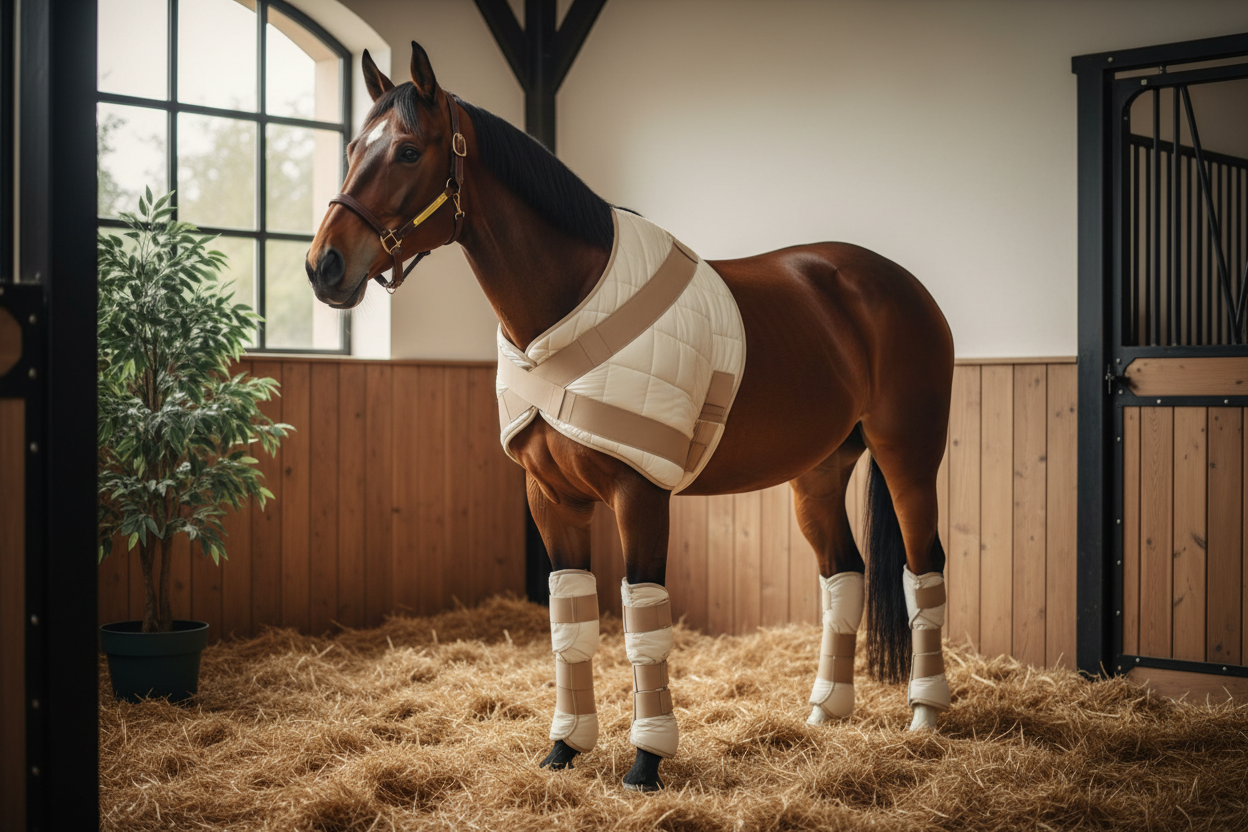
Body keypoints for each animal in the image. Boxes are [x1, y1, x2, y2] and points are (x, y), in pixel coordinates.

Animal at [306, 42, 954, 793]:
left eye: (409, 152)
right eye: (352, 147)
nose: (323, 265)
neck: (567, 305)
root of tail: (895, 283)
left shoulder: (638, 493)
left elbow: (643, 625)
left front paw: (646, 762)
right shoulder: (550, 497)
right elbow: (571, 621)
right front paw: (564, 748)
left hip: (909, 456)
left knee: (924, 570)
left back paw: (925, 714)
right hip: (818, 473)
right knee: (843, 574)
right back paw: (826, 711)